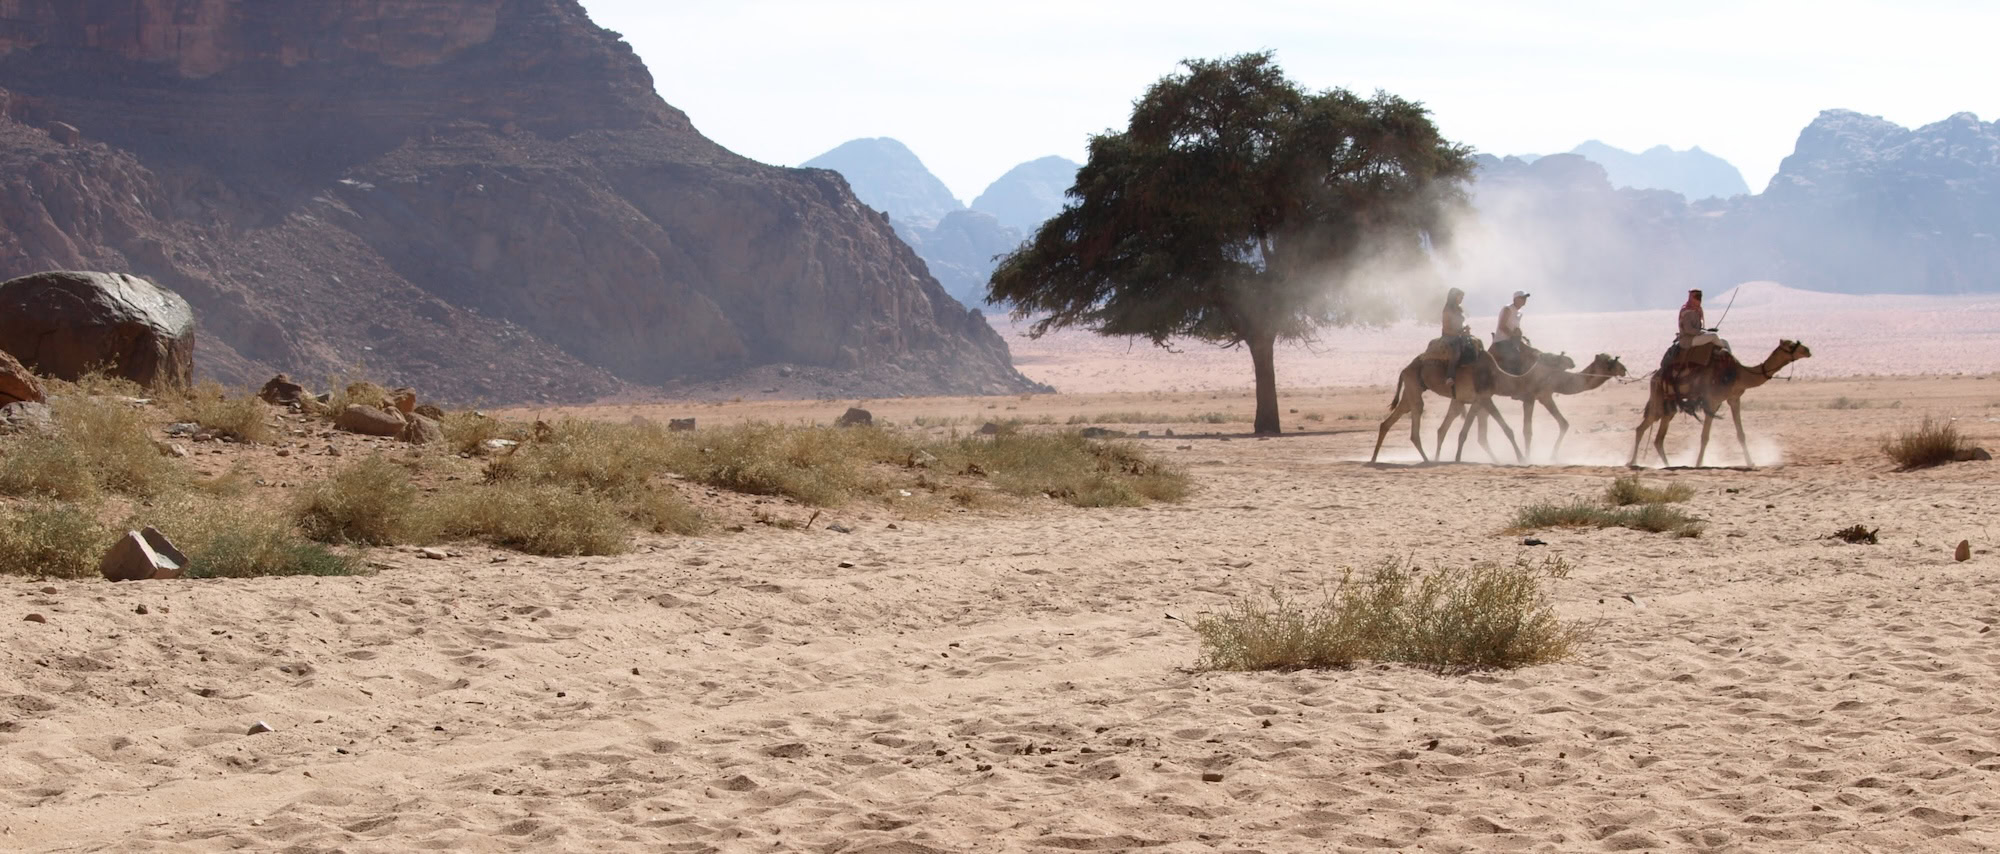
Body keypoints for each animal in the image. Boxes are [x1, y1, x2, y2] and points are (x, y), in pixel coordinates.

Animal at [1370, 348, 1573, 464]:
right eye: (1553, 358)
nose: (1571, 361)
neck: (1498, 377)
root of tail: (1404, 370)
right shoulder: (1485, 397)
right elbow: (1506, 429)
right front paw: (1522, 458)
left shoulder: (1477, 401)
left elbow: (1465, 432)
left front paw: (1458, 458)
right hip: (1413, 386)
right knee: (1415, 419)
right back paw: (1427, 460)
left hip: (1411, 390)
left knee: (1388, 422)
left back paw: (1374, 459)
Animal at [1628, 339, 1811, 469]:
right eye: (1791, 345)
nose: (1808, 350)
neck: (1739, 373)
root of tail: (1654, 376)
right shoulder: (1712, 400)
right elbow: (1705, 436)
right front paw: (1698, 464)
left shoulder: (1734, 399)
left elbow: (1741, 434)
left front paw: (1751, 463)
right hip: (1659, 398)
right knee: (1641, 428)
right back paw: (1633, 462)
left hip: (1669, 406)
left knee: (1658, 438)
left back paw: (1667, 465)